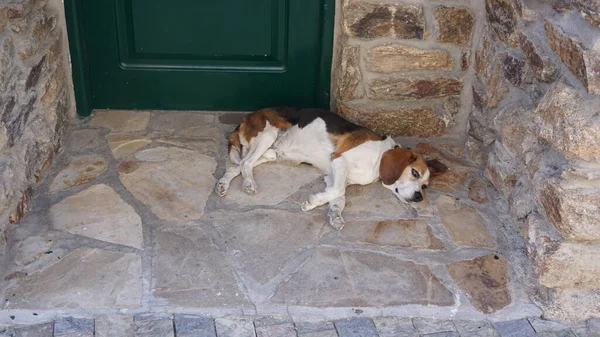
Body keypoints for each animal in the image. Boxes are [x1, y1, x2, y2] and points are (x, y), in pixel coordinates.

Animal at [213, 107, 438, 228]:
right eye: (414, 172)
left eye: (425, 185)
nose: (419, 197)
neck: (379, 157)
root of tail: (246, 117)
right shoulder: (339, 160)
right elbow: (337, 191)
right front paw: (312, 203)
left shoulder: (334, 175)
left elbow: (338, 197)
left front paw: (335, 215)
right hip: (267, 135)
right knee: (245, 163)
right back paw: (249, 184)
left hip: (271, 152)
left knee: (237, 166)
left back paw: (223, 184)